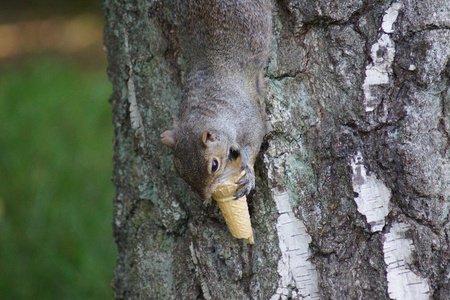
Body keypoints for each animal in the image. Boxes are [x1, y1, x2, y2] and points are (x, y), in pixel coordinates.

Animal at [163, 1, 274, 200]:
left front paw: (249, 173)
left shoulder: (249, 121)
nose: (205, 197)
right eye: (178, 169)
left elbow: (253, 143)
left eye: (214, 165)